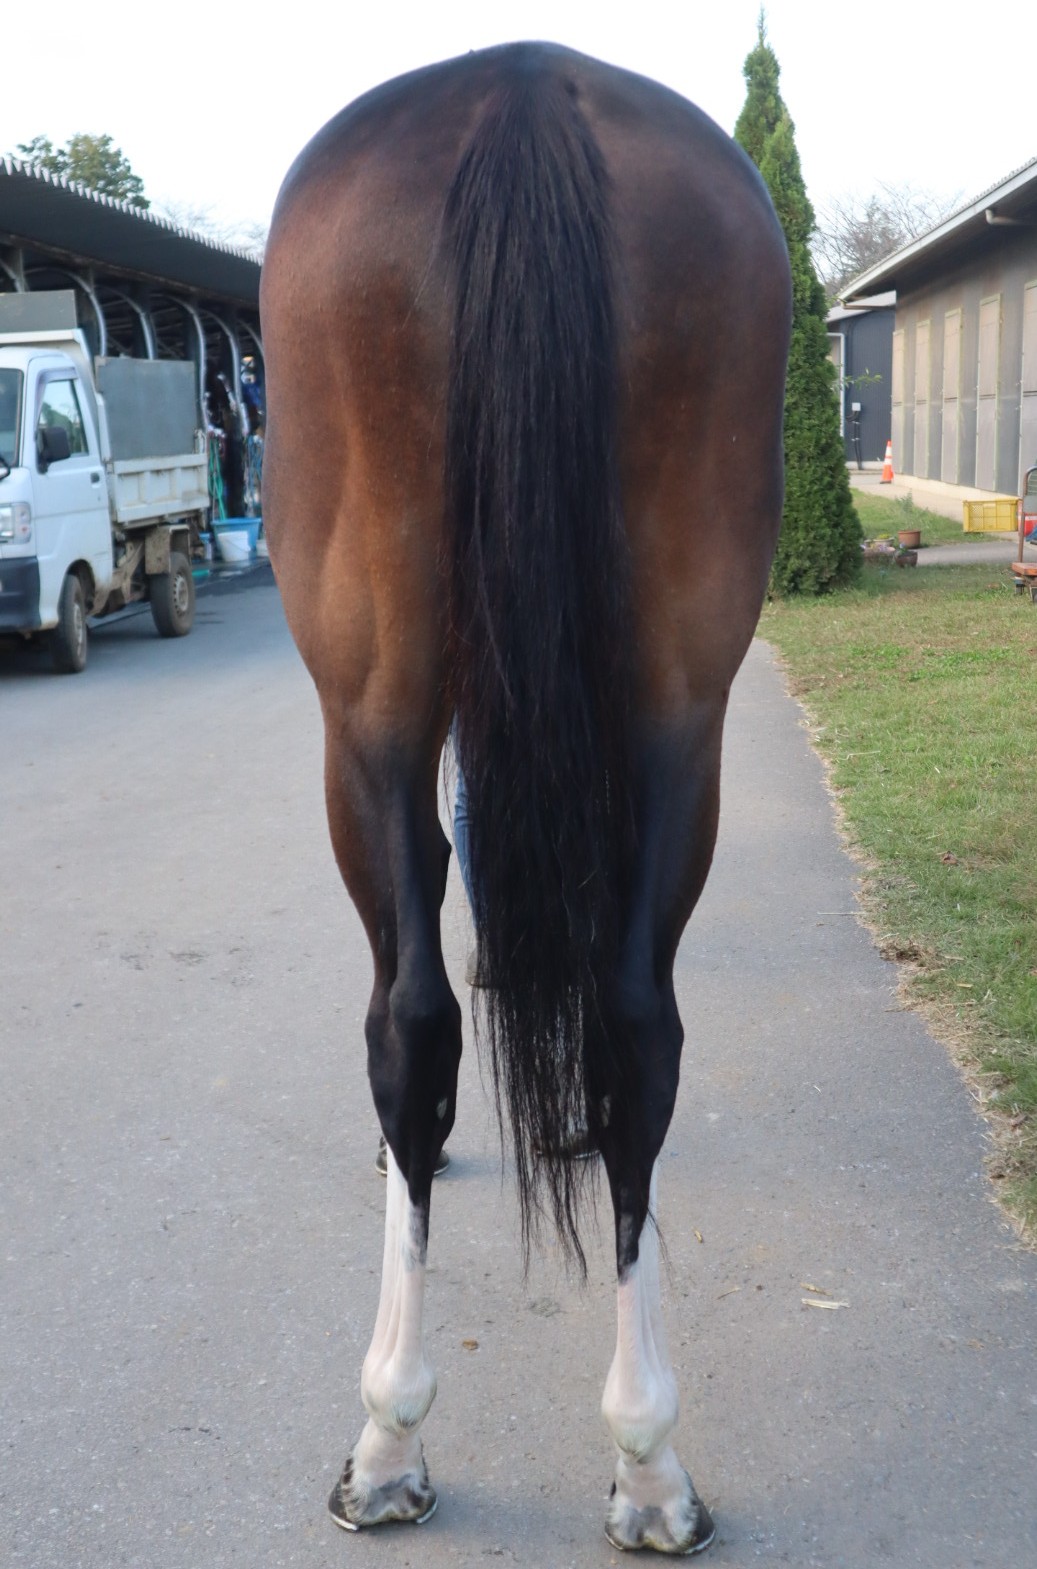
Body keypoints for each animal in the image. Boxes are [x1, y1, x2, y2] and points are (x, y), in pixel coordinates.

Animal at [260, 41, 790, 1555]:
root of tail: (525, 87)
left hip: (366, 707)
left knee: (408, 1023)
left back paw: (390, 1435)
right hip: (680, 698)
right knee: (633, 1027)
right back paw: (649, 1462)